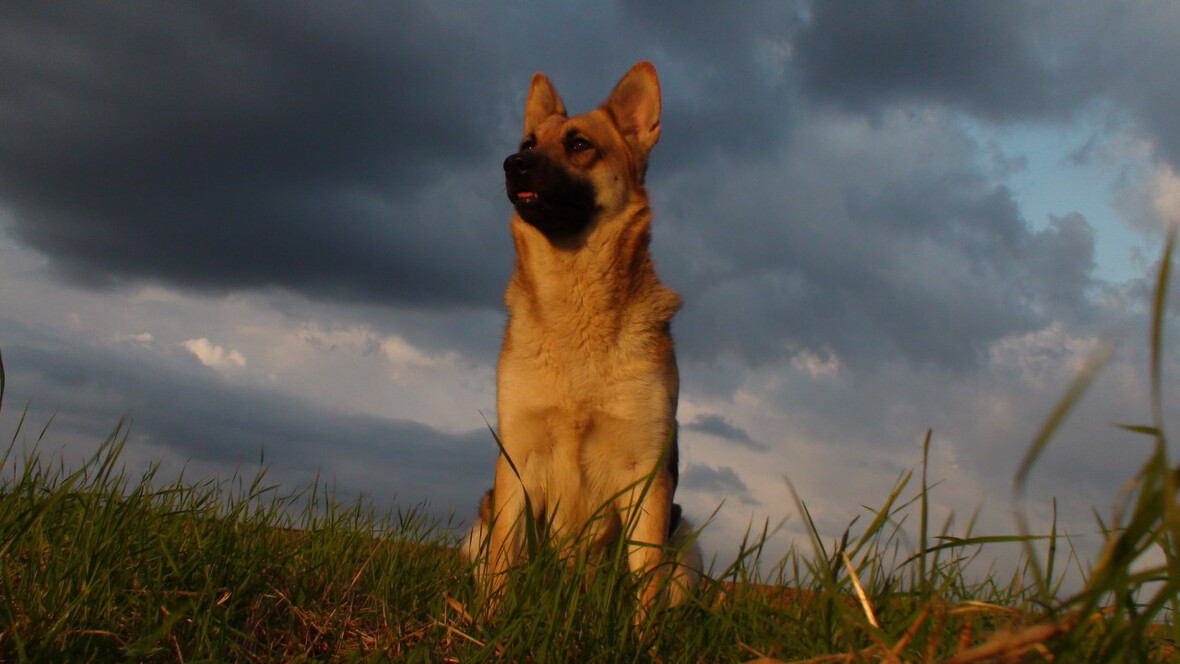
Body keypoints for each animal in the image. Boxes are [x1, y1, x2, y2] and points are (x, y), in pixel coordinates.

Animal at [462, 59, 698, 618]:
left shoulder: (646, 472)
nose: (513, 163)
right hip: (478, 526)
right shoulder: (518, 462)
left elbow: (645, 583)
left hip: (686, 540)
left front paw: (639, 636)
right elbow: (504, 561)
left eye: (579, 145)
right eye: (527, 141)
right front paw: (489, 626)